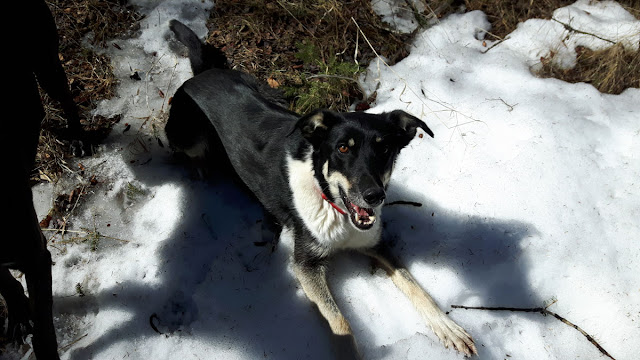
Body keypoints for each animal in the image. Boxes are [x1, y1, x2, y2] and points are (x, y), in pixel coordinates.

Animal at [165, 20, 476, 360]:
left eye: (385, 149)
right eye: (342, 148)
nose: (374, 196)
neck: (334, 207)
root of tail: (202, 74)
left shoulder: (375, 243)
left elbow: (413, 284)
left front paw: (447, 326)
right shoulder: (306, 265)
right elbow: (340, 320)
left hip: (266, 90)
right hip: (187, 136)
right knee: (186, 151)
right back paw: (201, 168)